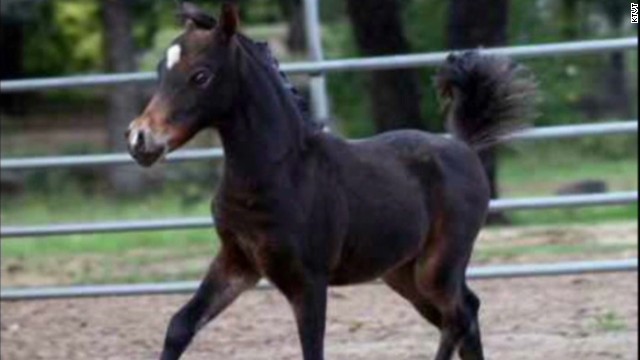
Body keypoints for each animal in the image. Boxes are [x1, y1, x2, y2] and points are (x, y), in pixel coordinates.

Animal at [125, 3, 536, 360]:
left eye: (201, 75)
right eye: (160, 70)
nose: (140, 139)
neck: (278, 172)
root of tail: (464, 145)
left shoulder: (309, 281)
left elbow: (313, 349)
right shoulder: (237, 261)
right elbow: (180, 325)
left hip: (439, 265)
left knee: (458, 317)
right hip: (402, 272)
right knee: (466, 312)